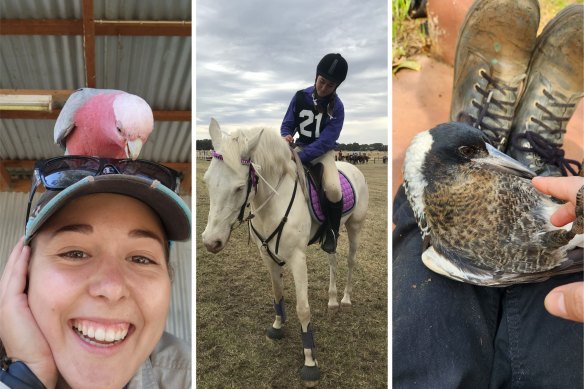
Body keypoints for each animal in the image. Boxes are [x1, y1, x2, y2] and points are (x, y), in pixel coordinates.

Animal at [202, 117, 370, 384]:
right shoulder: (266, 255)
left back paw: (344, 299)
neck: (272, 202)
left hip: (355, 227)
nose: (211, 242)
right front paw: (278, 327)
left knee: (351, 261)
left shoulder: (297, 259)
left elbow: (303, 309)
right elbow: (277, 293)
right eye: (207, 182)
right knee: (332, 260)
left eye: (239, 188)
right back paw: (333, 300)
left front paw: (310, 361)